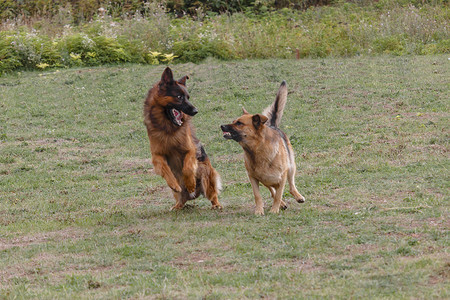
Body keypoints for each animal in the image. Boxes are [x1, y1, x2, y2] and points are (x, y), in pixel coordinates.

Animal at [143, 67, 222, 210]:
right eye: (179, 97)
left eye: (188, 97)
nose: (195, 111)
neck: (168, 129)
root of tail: (194, 195)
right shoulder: (157, 156)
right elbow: (165, 169)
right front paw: (173, 184)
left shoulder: (190, 150)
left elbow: (187, 168)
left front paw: (190, 183)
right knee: (181, 198)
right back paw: (177, 206)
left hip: (205, 173)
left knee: (212, 194)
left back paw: (216, 204)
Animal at [220, 81, 304, 214]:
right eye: (234, 121)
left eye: (239, 123)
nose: (222, 126)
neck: (257, 149)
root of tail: (273, 125)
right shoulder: (253, 177)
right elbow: (258, 195)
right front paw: (259, 211)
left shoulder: (282, 176)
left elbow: (279, 194)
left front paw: (274, 210)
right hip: (265, 177)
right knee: (272, 189)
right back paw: (282, 203)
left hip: (291, 166)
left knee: (290, 186)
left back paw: (298, 196)